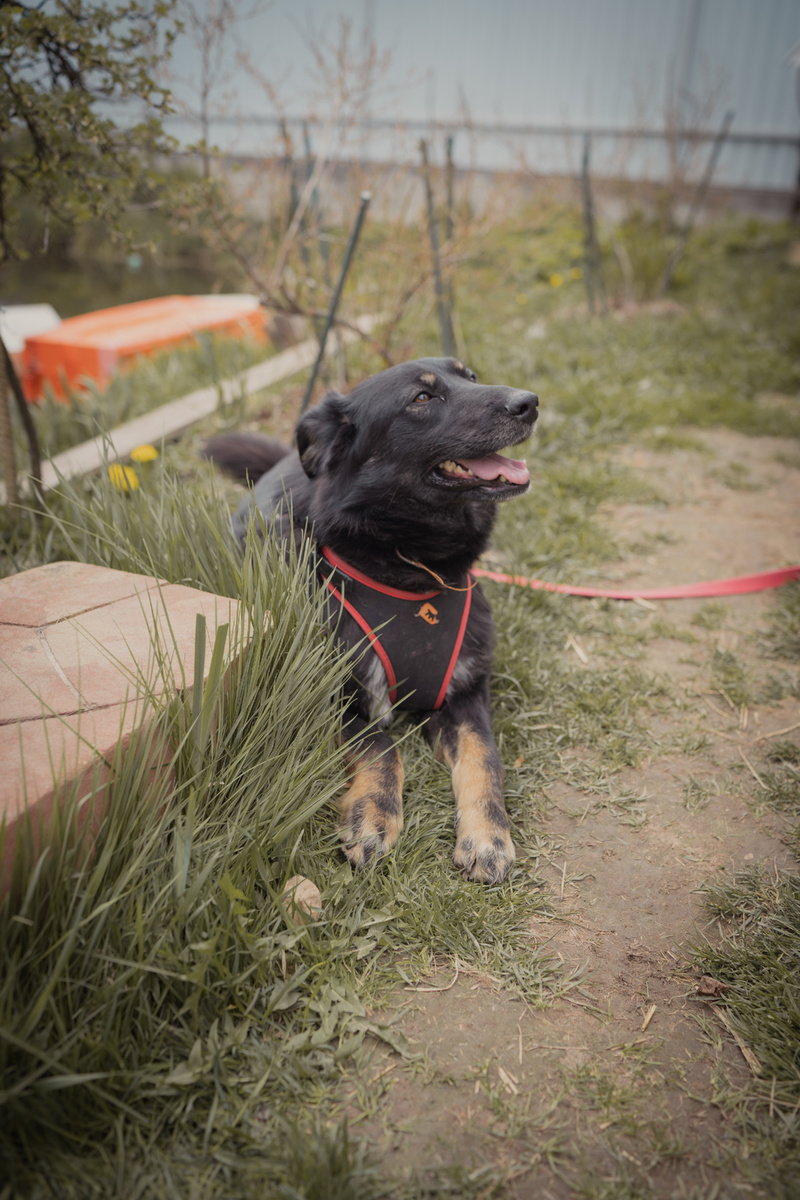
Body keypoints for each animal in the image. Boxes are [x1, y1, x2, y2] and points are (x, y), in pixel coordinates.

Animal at [208, 355, 537, 883]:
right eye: (422, 398)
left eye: (470, 376)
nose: (530, 403)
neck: (413, 571)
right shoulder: (337, 700)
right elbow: (384, 747)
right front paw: (373, 818)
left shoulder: (465, 694)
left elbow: (485, 757)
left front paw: (488, 835)